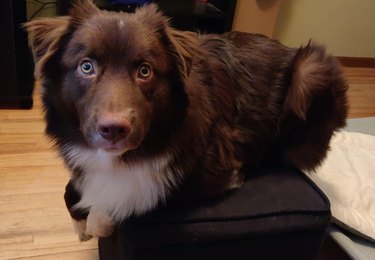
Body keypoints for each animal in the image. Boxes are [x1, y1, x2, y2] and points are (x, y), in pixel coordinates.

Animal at [25, 0, 350, 242]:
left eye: (145, 71)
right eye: (87, 67)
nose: (114, 130)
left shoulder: (193, 174)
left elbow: (133, 193)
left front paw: (98, 219)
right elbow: (73, 188)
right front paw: (81, 222)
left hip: (310, 72)